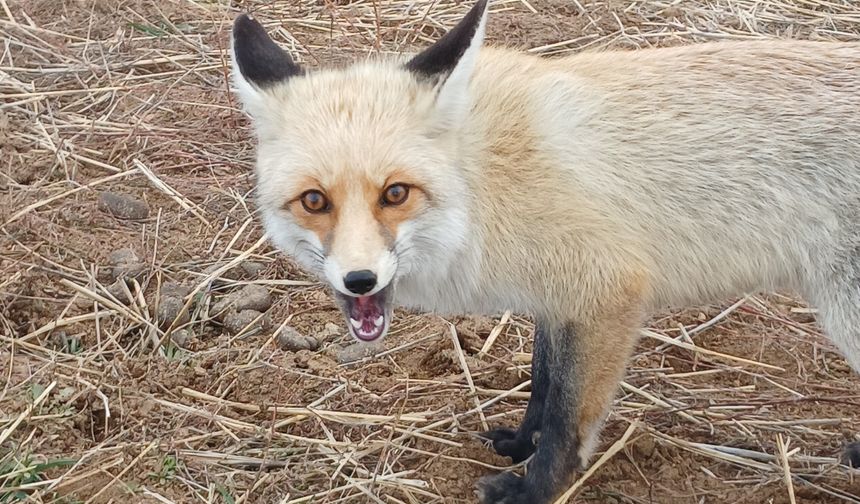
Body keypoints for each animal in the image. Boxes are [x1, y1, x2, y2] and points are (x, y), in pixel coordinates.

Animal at [228, 1, 860, 502]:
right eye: (315, 201)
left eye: (396, 193)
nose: (359, 280)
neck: (482, 180)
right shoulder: (559, 298)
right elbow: (543, 384)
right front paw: (519, 443)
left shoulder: (608, 291)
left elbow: (568, 419)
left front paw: (537, 488)